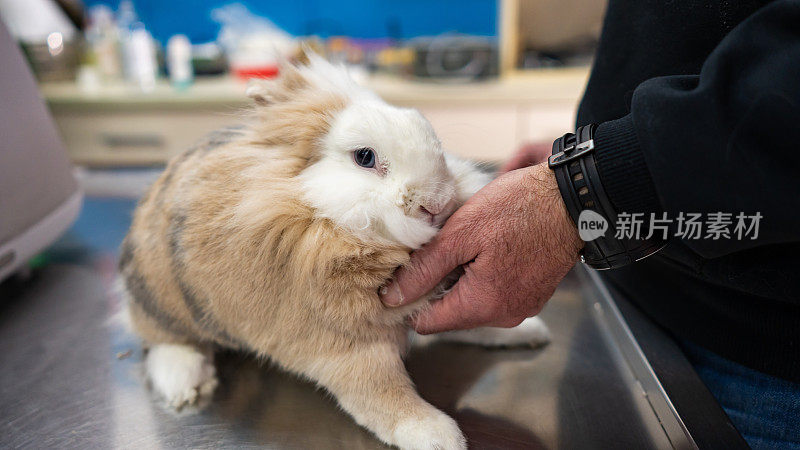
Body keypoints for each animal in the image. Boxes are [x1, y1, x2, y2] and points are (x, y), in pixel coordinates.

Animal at [119, 56, 552, 450]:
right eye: (365, 157)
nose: (436, 204)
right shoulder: (339, 342)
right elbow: (381, 392)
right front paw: (437, 436)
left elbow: (464, 321)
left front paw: (525, 331)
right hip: (165, 305)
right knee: (163, 343)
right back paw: (185, 385)